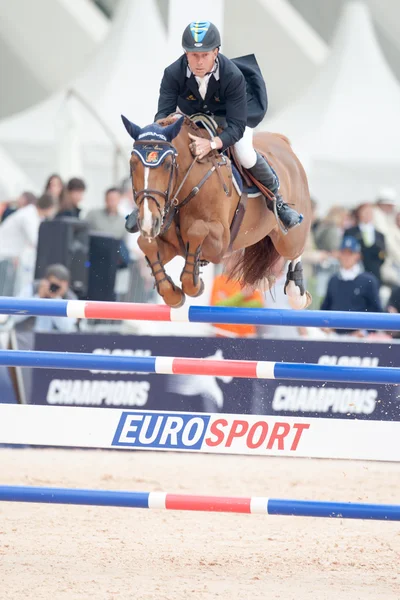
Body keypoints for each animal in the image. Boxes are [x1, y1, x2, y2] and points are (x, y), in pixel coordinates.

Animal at [122, 113, 312, 310]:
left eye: (167, 165)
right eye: (132, 164)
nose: (148, 222)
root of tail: (281, 141)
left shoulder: (220, 244)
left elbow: (197, 229)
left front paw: (194, 283)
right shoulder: (171, 245)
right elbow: (146, 244)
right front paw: (172, 294)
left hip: (289, 239)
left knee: (295, 251)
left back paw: (296, 293)